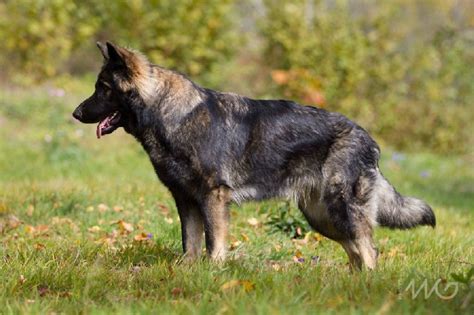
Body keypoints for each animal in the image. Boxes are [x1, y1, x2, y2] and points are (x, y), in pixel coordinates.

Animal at [72, 41, 436, 270]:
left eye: (103, 88)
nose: (75, 113)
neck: (171, 114)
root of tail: (368, 139)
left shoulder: (212, 198)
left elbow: (213, 243)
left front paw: (213, 273)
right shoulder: (185, 200)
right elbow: (190, 243)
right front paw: (187, 272)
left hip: (341, 208)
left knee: (369, 249)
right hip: (322, 216)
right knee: (357, 251)